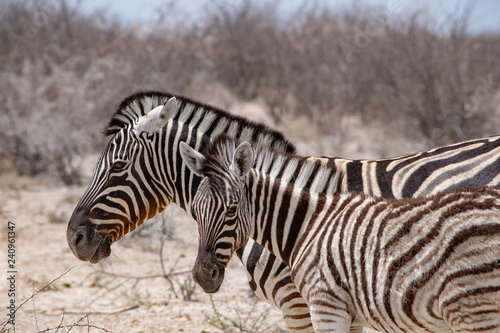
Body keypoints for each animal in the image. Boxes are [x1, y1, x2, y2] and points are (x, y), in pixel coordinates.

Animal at [180, 136, 500, 332]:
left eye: (232, 210)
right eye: (194, 210)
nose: (202, 276)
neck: (310, 223)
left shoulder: (322, 304)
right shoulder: (349, 312)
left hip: (473, 308)